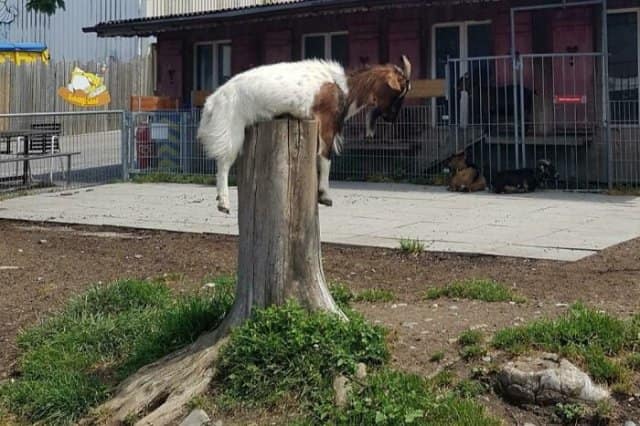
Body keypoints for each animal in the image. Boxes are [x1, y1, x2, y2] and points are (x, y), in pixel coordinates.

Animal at [197, 56, 412, 213]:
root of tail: (212, 101)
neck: (343, 87)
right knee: (223, 164)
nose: (392, 118)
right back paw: (223, 203)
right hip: (230, 128)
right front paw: (325, 196)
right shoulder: (326, 123)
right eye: (400, 90)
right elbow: (325, 158)